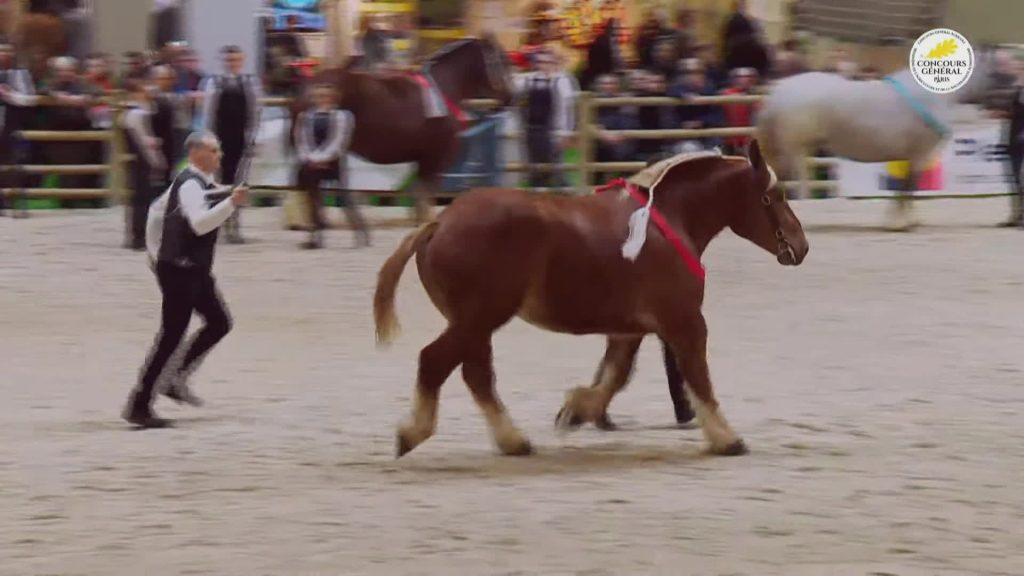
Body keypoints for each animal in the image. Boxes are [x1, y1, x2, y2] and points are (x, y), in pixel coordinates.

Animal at [288, 36, 514, 224]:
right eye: (501, 61)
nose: (509, 98)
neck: (443, 89)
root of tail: (309, 87)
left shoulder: (422, 160)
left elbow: (419, 200)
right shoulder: (434, 159)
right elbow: (425, 200)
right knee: (310, 185)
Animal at [373, 140, 809, 458]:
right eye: (772, 196)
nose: (801, 246)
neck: (669, 220)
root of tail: (439, 222)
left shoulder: (633, 328)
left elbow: (614, 374)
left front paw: (576, 409)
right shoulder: (684, 321)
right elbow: (697, 377)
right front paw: (726, 438)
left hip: (475, 323)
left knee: (475, 375)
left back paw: (513, 441)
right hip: (478, 318)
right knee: (436, 362)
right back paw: (414, 433)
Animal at [756, 48, 999, 230]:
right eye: (1001, 71)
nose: (997, 108)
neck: (931, 97)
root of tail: (778, 92)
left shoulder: (912, 157)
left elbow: (906, 188)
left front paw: (906, 220)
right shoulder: (919, 155)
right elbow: (908, 188)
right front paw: (900, 224)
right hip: (794, 150)